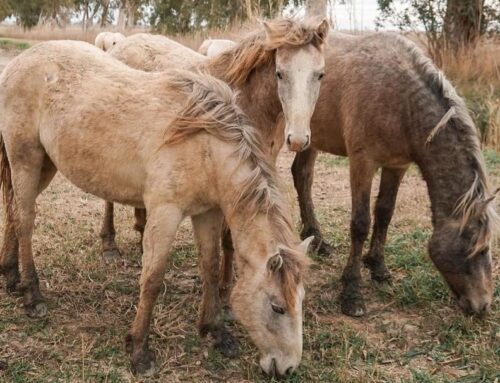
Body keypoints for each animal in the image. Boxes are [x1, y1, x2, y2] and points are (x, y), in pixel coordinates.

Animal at [0, 39, 312, 378]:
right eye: (277, 306)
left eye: (301, 301)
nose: (288, 368)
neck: (205, 145)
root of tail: (19, 61)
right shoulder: (165, 213)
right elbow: (152, 279)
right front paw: (139, 350)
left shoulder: (207, 214)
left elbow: (210, 267)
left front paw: (216, 332)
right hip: (26, 159)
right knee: (25, 220)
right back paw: (32, 296)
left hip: (46, 165)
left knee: (13, 212)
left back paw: (11, 276)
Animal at [290, 30, 500, 318]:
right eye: (473, 244)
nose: (482, 306)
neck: (401, 101)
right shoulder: (363, 163)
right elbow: (360, 223)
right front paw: (352, 292)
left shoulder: (396, 166)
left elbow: (384, 213)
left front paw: (378, 267)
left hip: (310, 139)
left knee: (302, 177)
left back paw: (317, 239)